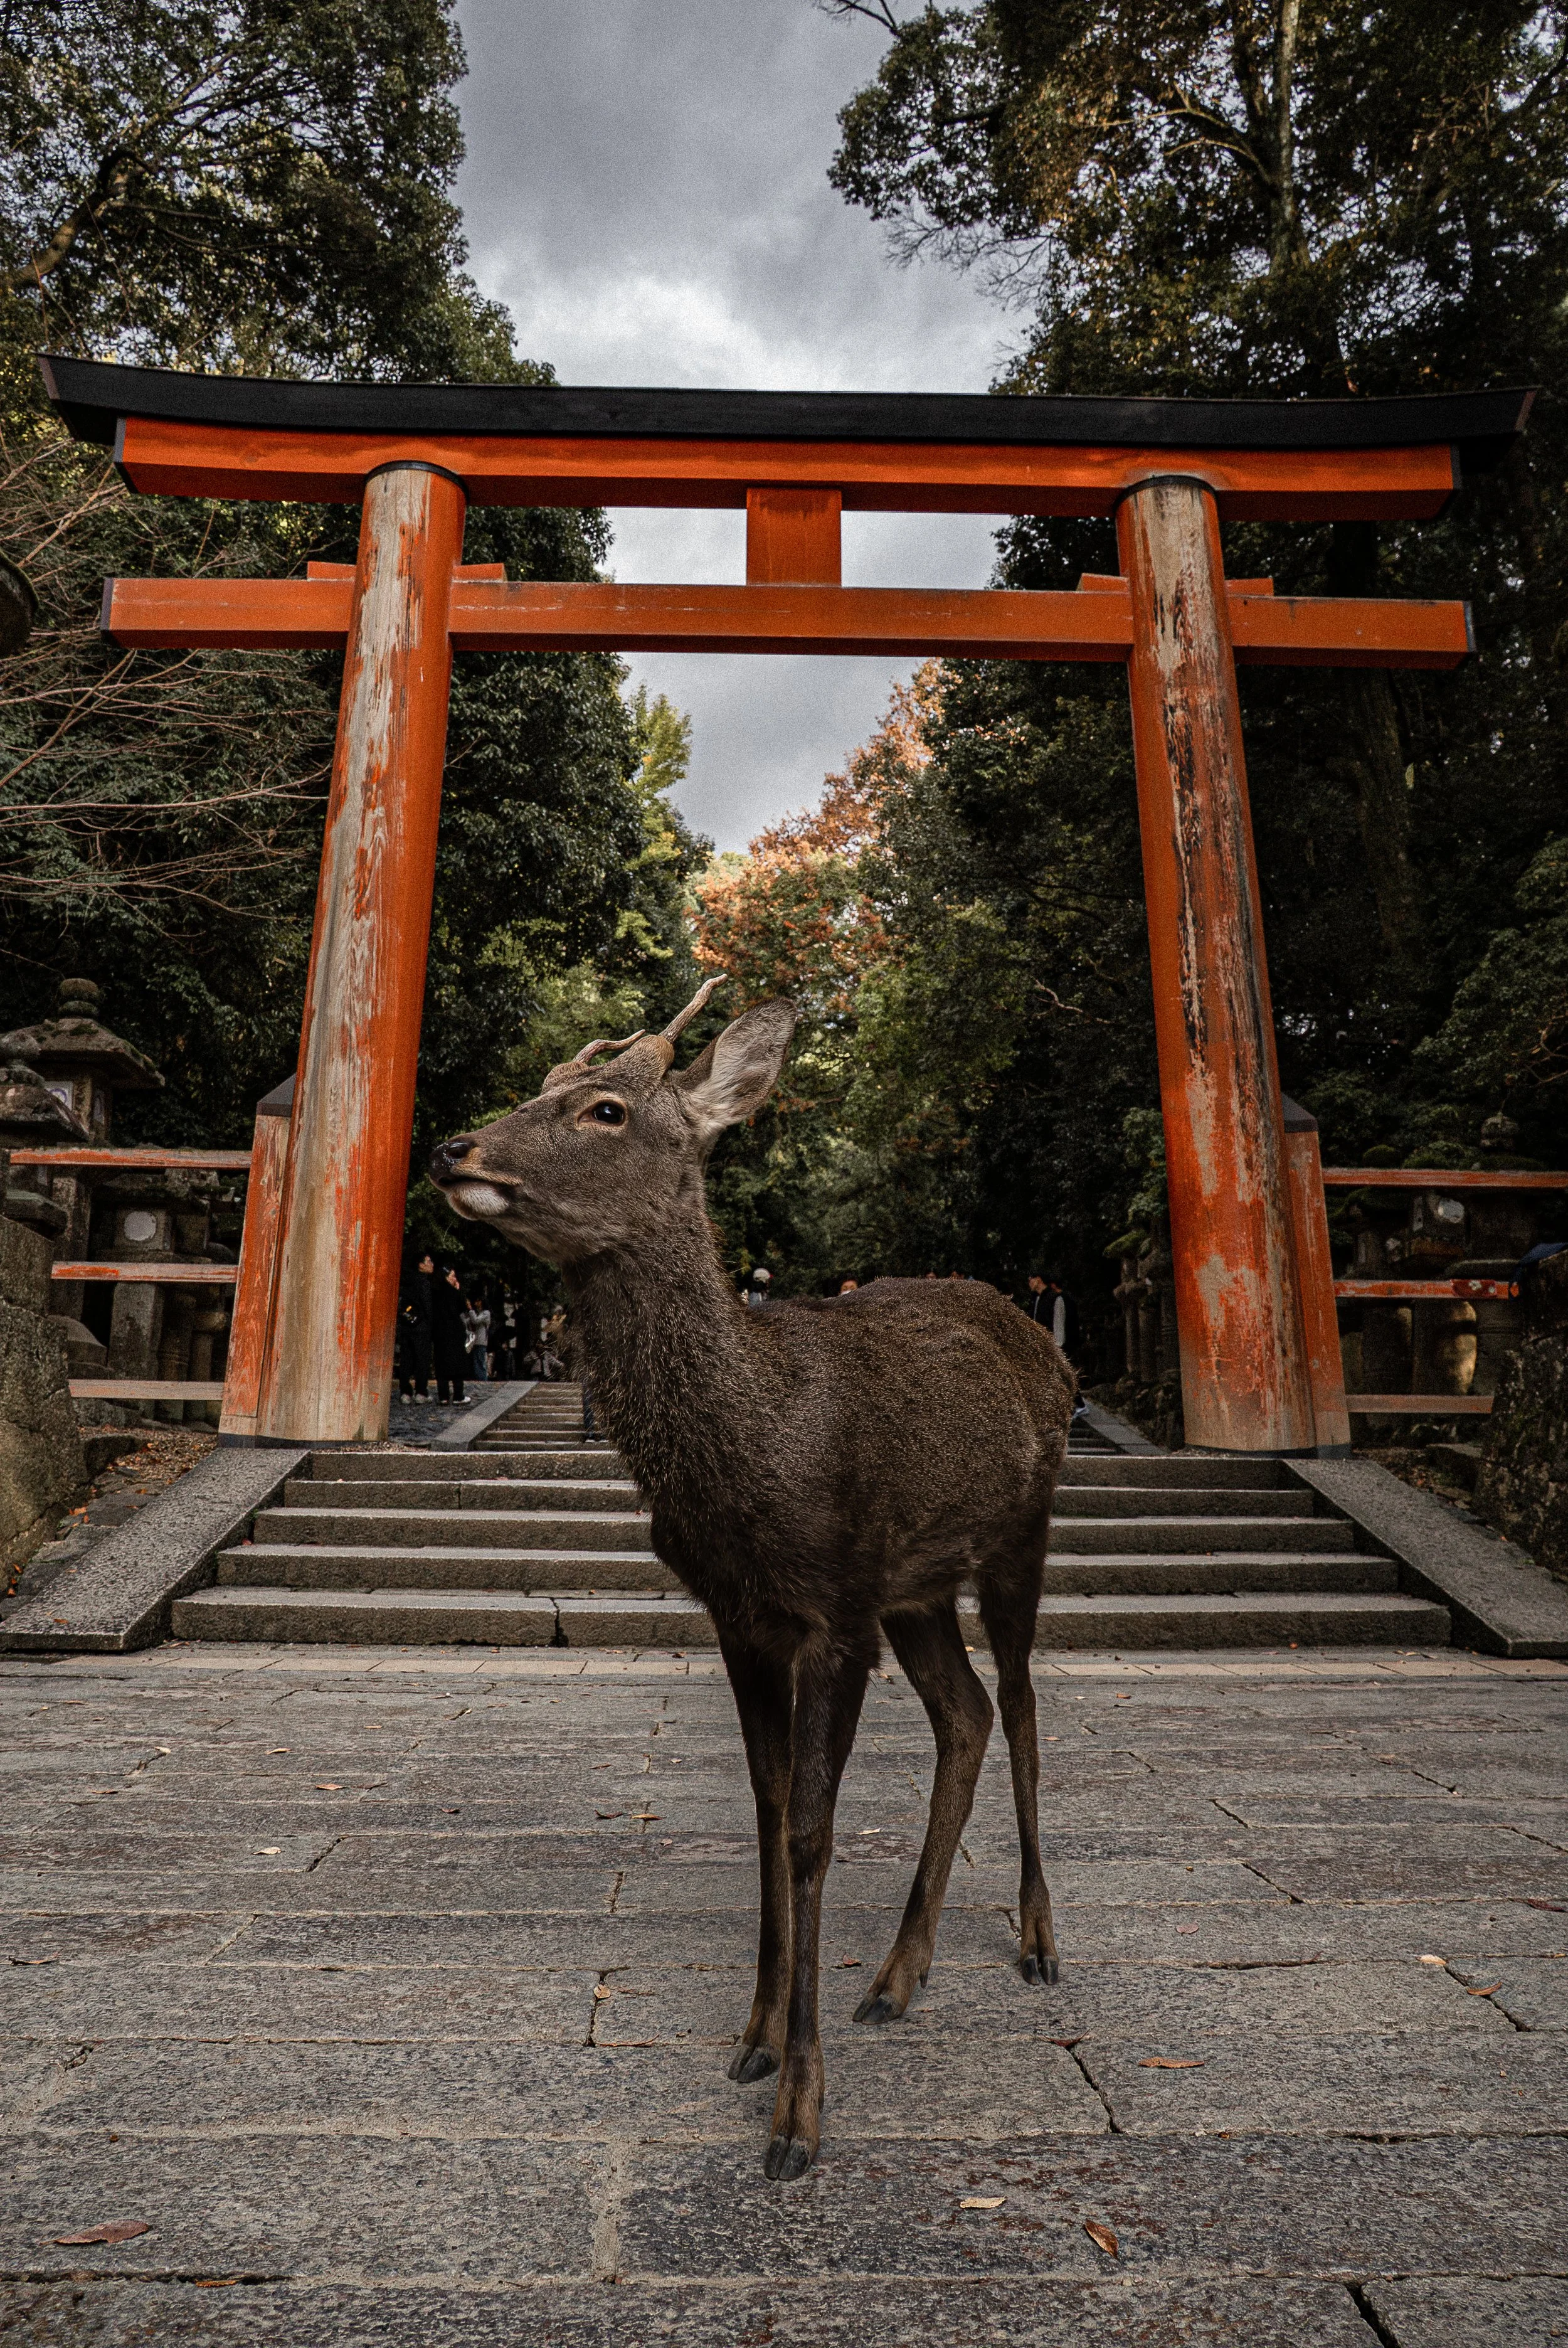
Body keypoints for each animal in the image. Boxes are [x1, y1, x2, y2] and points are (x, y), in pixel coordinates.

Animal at [429, 977, 1075, 2181]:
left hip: (1021, 1531)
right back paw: (898, 1974)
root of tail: (1043, 1340)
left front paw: (799, 2117)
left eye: (603, 1107)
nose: (454, 1146)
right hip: (917, 1587)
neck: (755, 1460)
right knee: (964, 1713)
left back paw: (1039, 1940)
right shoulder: (743, 1615)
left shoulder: (836, 1609)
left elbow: (817, 1829)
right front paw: (756, 2039)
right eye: (541, 1081)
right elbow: (770, 1810)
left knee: (1019, 1706)